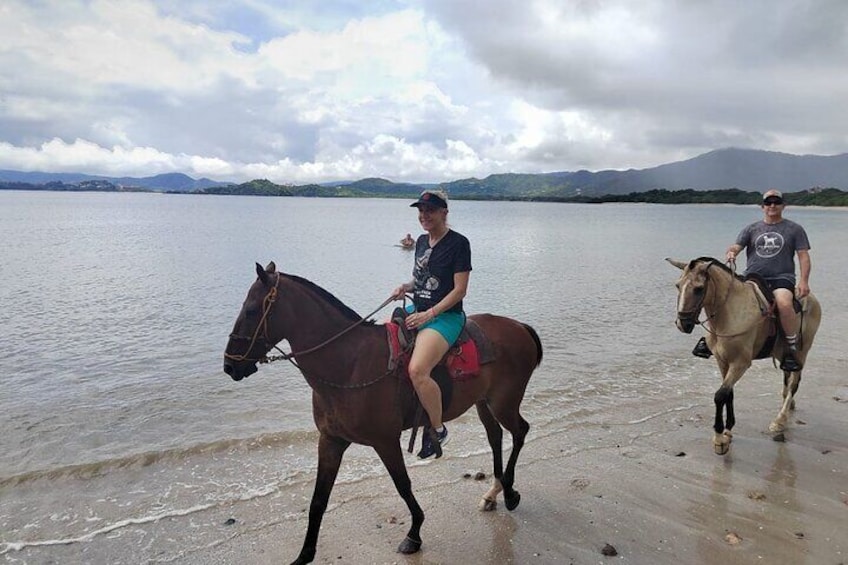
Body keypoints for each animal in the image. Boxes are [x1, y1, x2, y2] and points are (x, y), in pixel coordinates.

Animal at [225, 264, 544, 564]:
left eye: (251, 310)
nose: (230, 365)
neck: (348, 363)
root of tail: (519, 327)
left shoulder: (385, 441)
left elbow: (402, 485)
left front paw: (414, 534)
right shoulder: (331, 441)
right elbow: (318, 500)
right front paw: (304, 555)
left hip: (504, 403)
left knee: (519, 431)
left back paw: (510, 492)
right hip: (484, 403)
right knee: (495, 437)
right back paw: (494, 493)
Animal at [668, 258, 820, 456]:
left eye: (699, 289)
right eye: (678, 285)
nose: (683, 324)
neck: (729, 315)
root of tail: (812, 299)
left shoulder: (740, 363)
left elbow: (720, 395)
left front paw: (719, 440)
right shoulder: (723, 361)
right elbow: (728, 393)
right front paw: (728, 431)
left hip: (802, 352)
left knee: (794, 383)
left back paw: (779, 420)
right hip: (782, 353)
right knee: (787, 380)